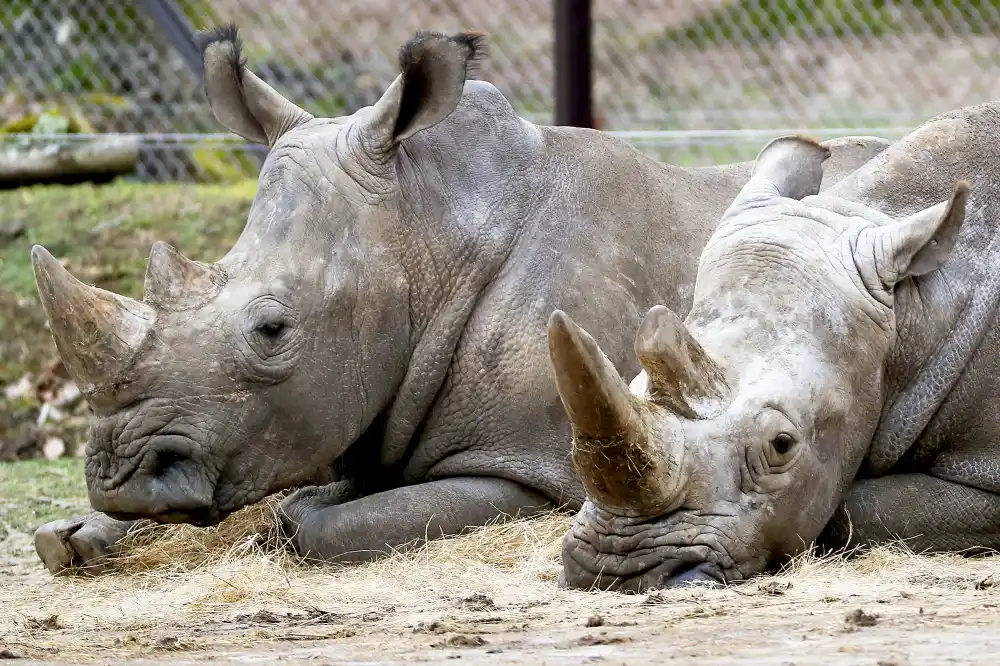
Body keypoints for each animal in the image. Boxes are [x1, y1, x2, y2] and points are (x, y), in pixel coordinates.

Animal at [29, 24, 890, 575]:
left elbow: (319, 522)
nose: (122, 476)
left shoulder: (527, 466)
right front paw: (70, 533)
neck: (427, 235)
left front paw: (305, 509)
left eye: (272, 328)